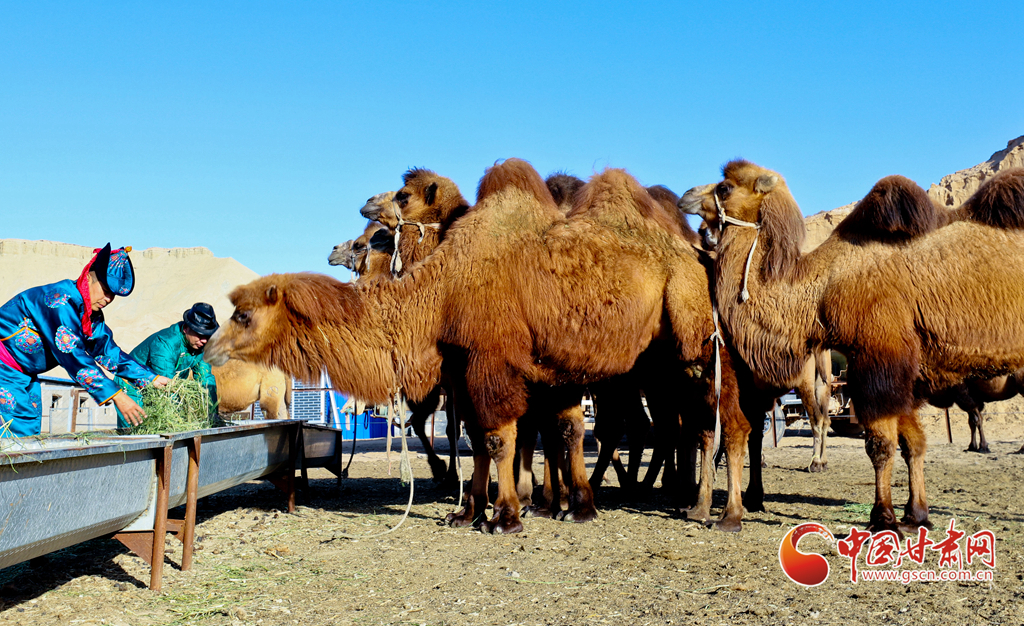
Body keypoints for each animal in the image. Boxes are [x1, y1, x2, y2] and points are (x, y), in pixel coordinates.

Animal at [206, 158, 755, 533]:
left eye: (243, 314)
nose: (210, 348)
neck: (445, 285)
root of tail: (696, 255)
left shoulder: (492, 359)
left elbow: (498, 437)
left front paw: (506, 514)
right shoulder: (467, 363)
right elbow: (487, 435)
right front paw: (472, 509)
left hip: (692, 338)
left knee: (718, 422)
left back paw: (719, 512)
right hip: (655, 363)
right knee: (671, 425)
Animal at [680, 161, 1024, 532]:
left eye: (725, 187)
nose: (686, 196)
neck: (823, 288)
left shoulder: (878, 355)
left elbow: (880, 444)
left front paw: (883, 517)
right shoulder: (903, 366)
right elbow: (913, 442)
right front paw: (915, 516)